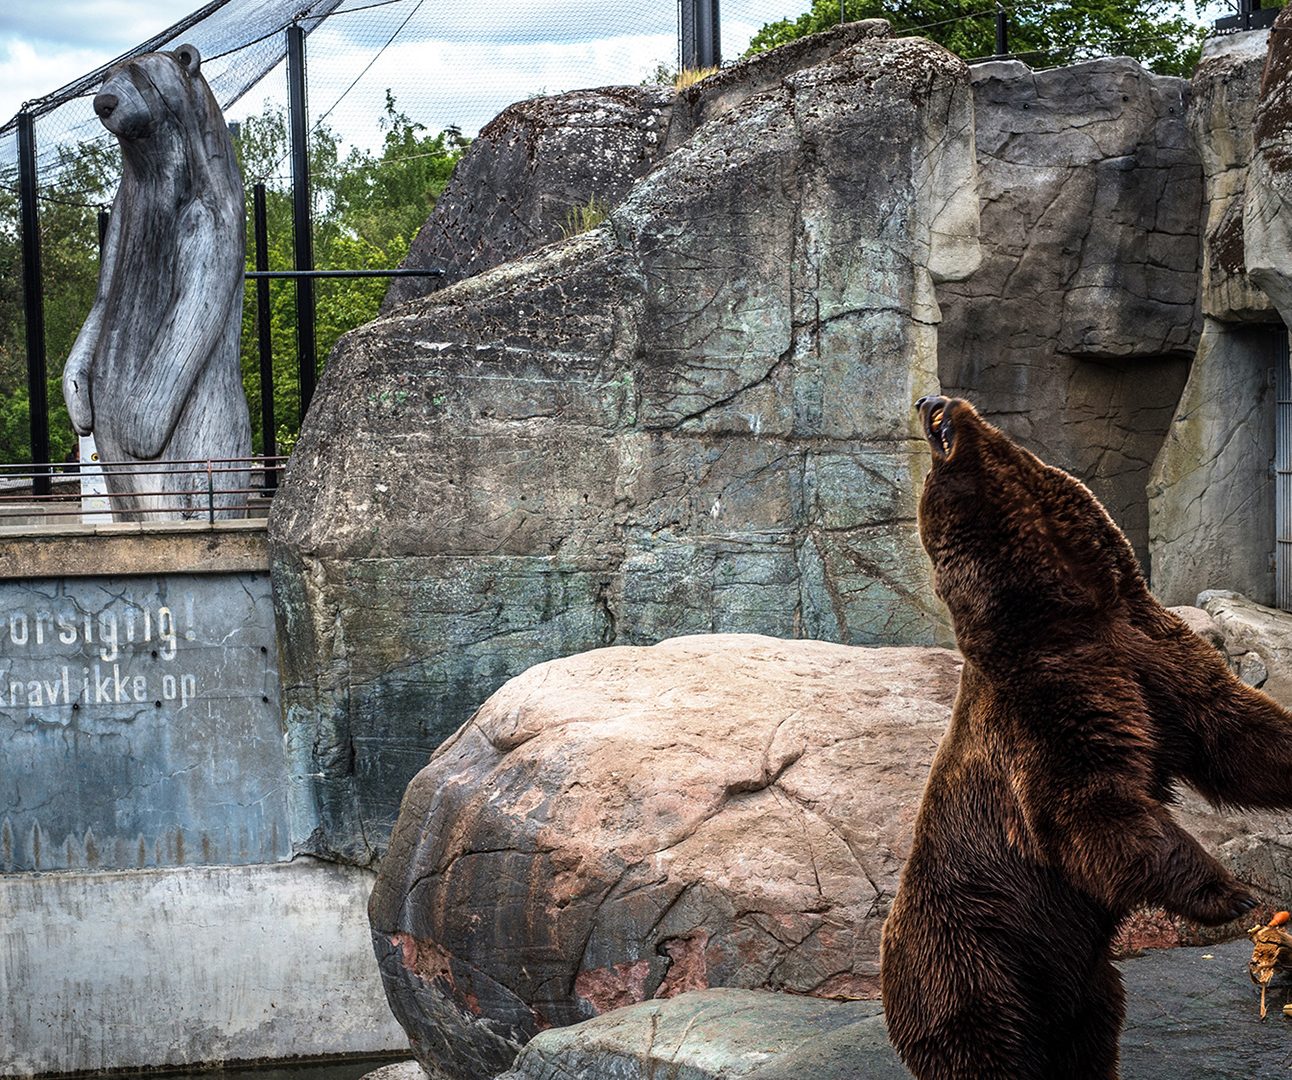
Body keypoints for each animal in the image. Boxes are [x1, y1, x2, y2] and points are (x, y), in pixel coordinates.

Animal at [883, 395, 1292, 1080]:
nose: (929, 400)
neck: (1070, 600)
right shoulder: (1050, 693)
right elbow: (1088, 806)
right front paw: (1234, 893)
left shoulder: (1155, 653)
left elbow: (1237, 734)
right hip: (977, 957)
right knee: (988, 1049)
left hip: (1085, 983)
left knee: (1091, 1036)